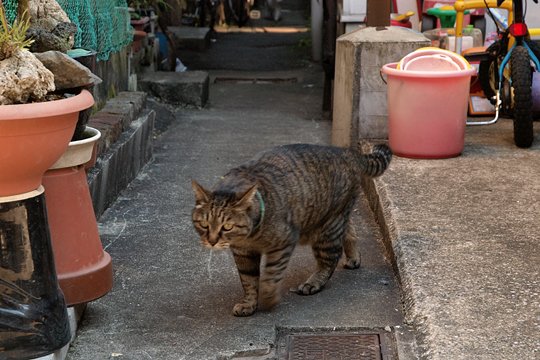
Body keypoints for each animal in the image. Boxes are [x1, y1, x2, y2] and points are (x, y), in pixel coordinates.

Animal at [192, 142, 390, 316]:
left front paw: (268, 297)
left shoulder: (283, 244)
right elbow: (248, 280)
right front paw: (249, 303)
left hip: (326, 232)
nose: (212, 241)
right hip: (332, 218)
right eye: (204, 225)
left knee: (330, 259)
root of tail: (348, 152)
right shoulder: (243, 254)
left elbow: (271, 274)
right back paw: (354, 257)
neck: (250, 236)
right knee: (350, 230)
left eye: (227, 227)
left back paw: (313, 282)